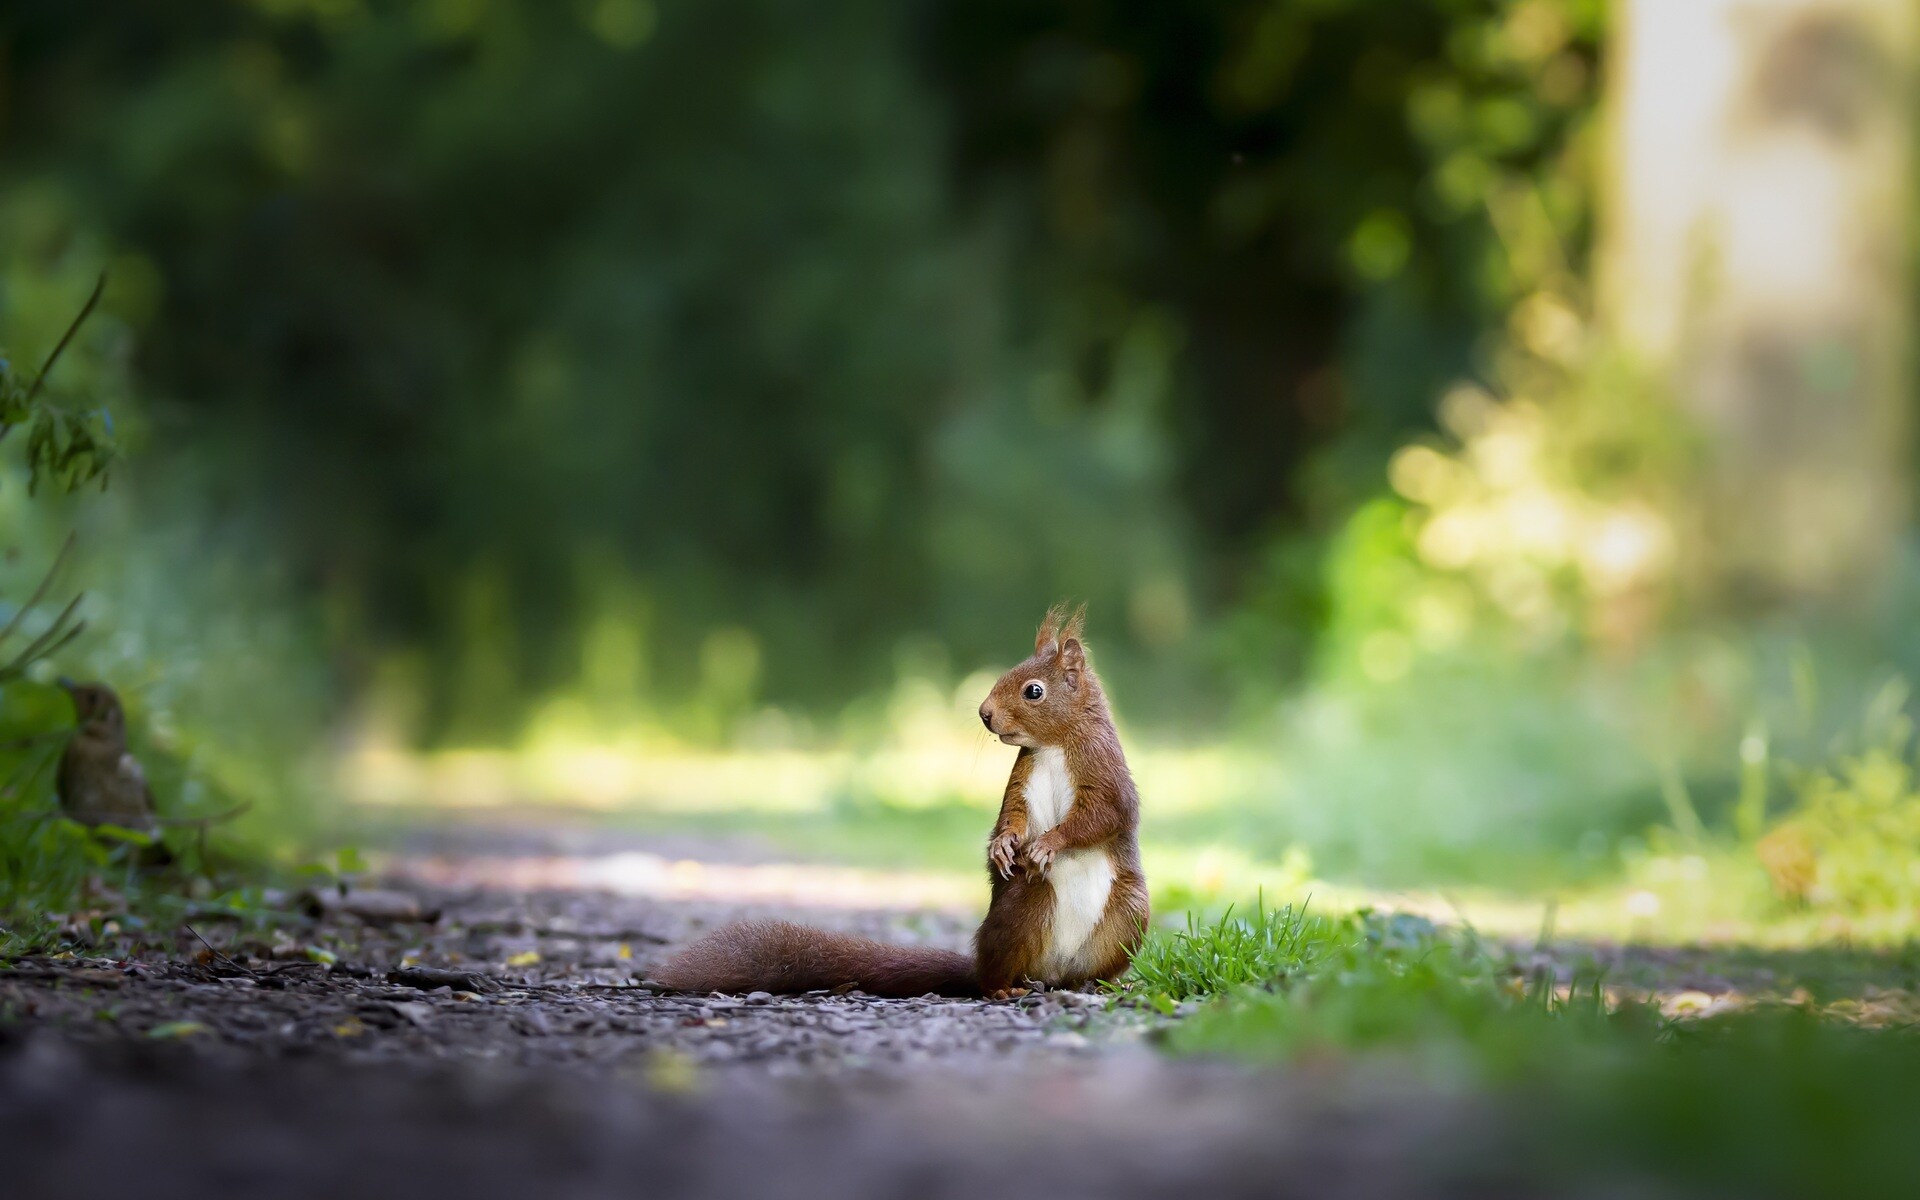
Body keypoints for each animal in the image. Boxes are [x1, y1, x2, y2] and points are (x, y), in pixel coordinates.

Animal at [655, 603, 1149, 999]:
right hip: (1025, 907)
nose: (985, 714)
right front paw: (1002, 845)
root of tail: (1052, 972)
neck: (1053, 746)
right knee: (996, 971)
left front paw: (1048, 843)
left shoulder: (1104, 771)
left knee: (1086, 967)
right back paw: (1004, 988)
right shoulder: (1022, 780)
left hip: (1129, 913)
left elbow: (1102, 816)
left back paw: (1098, 983)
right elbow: (1013, 815)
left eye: (1033, 690)